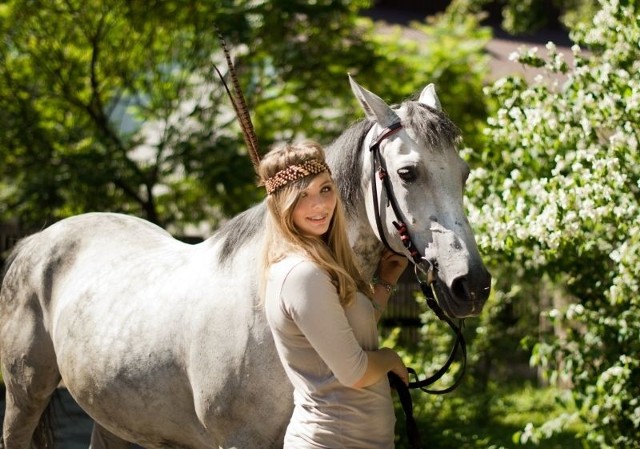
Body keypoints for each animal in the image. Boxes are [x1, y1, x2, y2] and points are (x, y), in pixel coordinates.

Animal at [0, 76, 492, 444]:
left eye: (465, 173)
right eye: (407, 173)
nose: (472, 285)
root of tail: (36, 241)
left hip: (116, 416)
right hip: (23, 399)